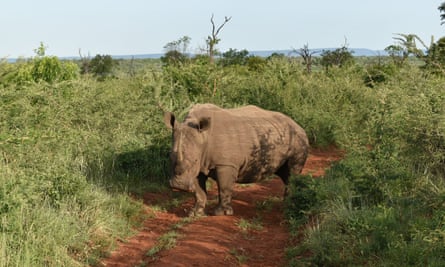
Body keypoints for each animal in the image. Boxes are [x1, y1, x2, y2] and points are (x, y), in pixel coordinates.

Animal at [164, 103, 308, 217]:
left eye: (194, 160)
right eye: (170, 156)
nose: (179, 186)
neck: (203, 137)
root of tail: (298, 125)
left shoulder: (225, 164)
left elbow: (224, 187)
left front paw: (221, 213)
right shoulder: (199, 165)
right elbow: (199, 190)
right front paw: (195, 213)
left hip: (297, 138)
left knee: (292, 172)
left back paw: (288, 205)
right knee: (284, 173)